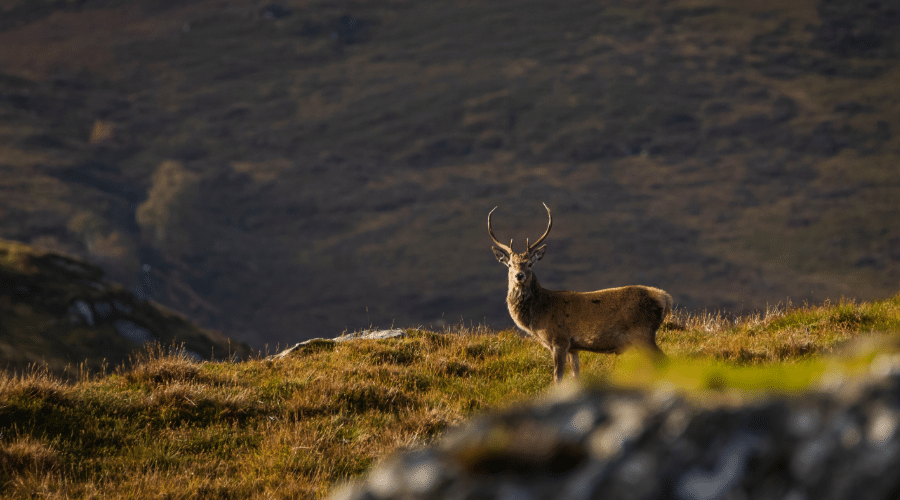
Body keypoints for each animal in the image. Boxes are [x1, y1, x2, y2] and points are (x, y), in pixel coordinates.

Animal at [488, 203, 672, 382]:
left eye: (530, 264)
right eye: (510, 264)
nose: (519, 275)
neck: (538, 314)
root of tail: (665, 298)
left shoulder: (559, 340)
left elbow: (558, 377)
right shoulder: (573, 347)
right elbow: (576, 376)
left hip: (643, 333)